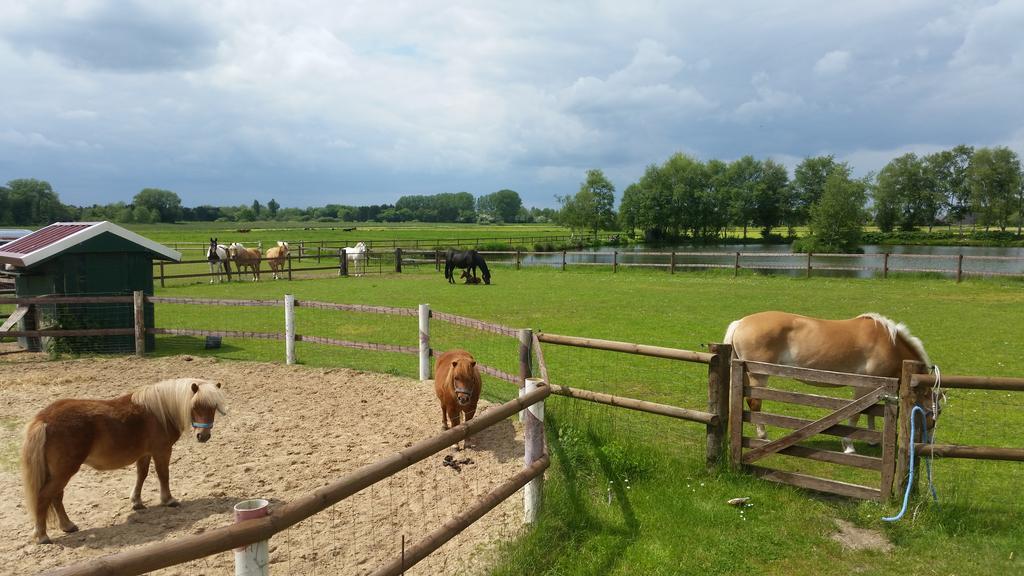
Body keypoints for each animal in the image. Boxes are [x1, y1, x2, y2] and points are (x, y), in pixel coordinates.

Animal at [19, 375, 229, 541]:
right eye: (195, 406)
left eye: (213, 407)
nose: (203, 436)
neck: (160, 411)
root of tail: (44, 419)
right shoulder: (162, 451)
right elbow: (163, 475)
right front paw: (168, 500)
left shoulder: (144, 454)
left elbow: (142, 475)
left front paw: (136, 502)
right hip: (64, 471)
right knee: (45, 496)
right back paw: (42, 535)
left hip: (58, 472)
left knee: (56, 496)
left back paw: (67, 526)